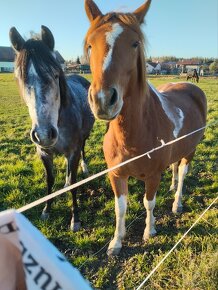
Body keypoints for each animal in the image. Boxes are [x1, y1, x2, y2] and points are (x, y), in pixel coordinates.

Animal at [9, 25, 94, 231]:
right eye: (20, 78)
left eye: (55, 75)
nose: (44, 135)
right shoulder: (44, 153)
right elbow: (50, 180)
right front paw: (46, 210)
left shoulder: (73, 151)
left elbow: (74, 183)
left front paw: (75, 219)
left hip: (84, 138)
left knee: (83, 151)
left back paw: (85, 167)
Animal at [84, 0, 207, 255]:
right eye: (90, 44)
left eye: (135, 43)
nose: (103, 100)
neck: (132, 134)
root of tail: (191, 86)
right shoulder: (116, 175)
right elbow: (120, 208)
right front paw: (116, 242)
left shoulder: (152, 176)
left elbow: (148, 202)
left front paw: (149, 231)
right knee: (175, 168)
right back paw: (171, 187)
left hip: (190, 150)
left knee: (182, 173)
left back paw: (177, 202)